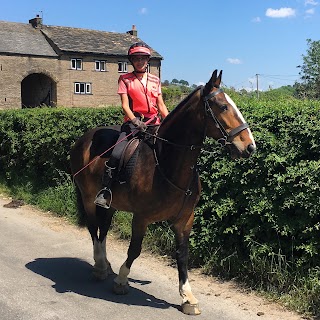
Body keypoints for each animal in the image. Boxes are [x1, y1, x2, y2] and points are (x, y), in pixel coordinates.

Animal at [69, 69, 255, 316]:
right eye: (223, 106)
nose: (250, 146)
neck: (166, 162)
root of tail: (84, 139)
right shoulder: (141, 218)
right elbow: (134, 250)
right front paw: (122, 280)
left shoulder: (185, 219)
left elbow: (182, 255)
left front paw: (188, 297)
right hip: (89, 199)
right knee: (93, 228)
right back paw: (100, 266)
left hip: (110, 204)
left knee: (103, 229)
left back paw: (105, 264)